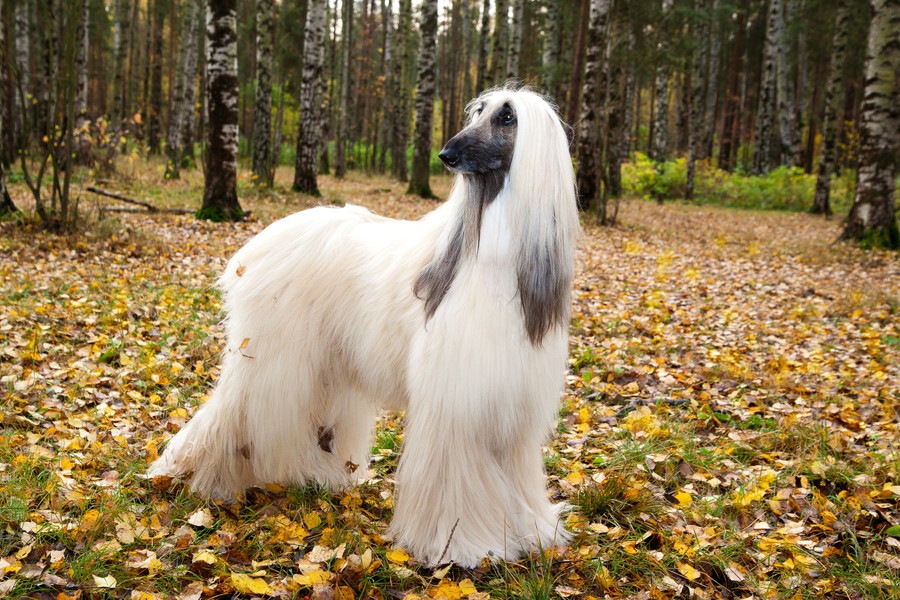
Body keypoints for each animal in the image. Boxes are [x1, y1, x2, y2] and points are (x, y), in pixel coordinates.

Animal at [150, 86, 580, 564]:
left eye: (507, 118)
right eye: (479, 112)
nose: (447, 153)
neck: (495, 258)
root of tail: (261, 244)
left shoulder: (512, 409)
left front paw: (532, 533)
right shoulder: (456, 405)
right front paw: (461, 545)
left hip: (324, 367)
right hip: (273, 359)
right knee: (232, 414)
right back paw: (197, 479)